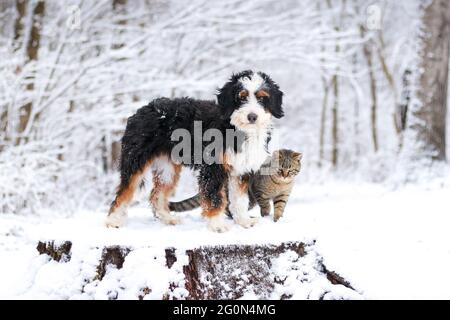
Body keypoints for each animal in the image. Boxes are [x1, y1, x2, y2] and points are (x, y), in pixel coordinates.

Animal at [103, 70, 284, 231]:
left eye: (262, 98)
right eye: (241, 97)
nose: (252, 117)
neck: (236, 128)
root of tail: (143, 109)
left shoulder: (241, 169)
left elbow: (240, 200)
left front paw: (243, 221)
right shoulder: (213, 168)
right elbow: (215, 197)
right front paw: (217, 225)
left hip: (167, 168)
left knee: (157, 194)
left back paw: (168, 218)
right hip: (136, 161)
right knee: (123, 193)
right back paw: (113, 221)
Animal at [169, 149, 302, 221]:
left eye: (290, 170)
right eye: (280, 169)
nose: (285, 175)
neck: (280, 184)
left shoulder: (283, 196)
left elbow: (279, 208)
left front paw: (278, 219)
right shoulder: (259, 191)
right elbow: (265, 205)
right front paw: (266, 215)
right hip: (245, 198)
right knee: (229, 209)